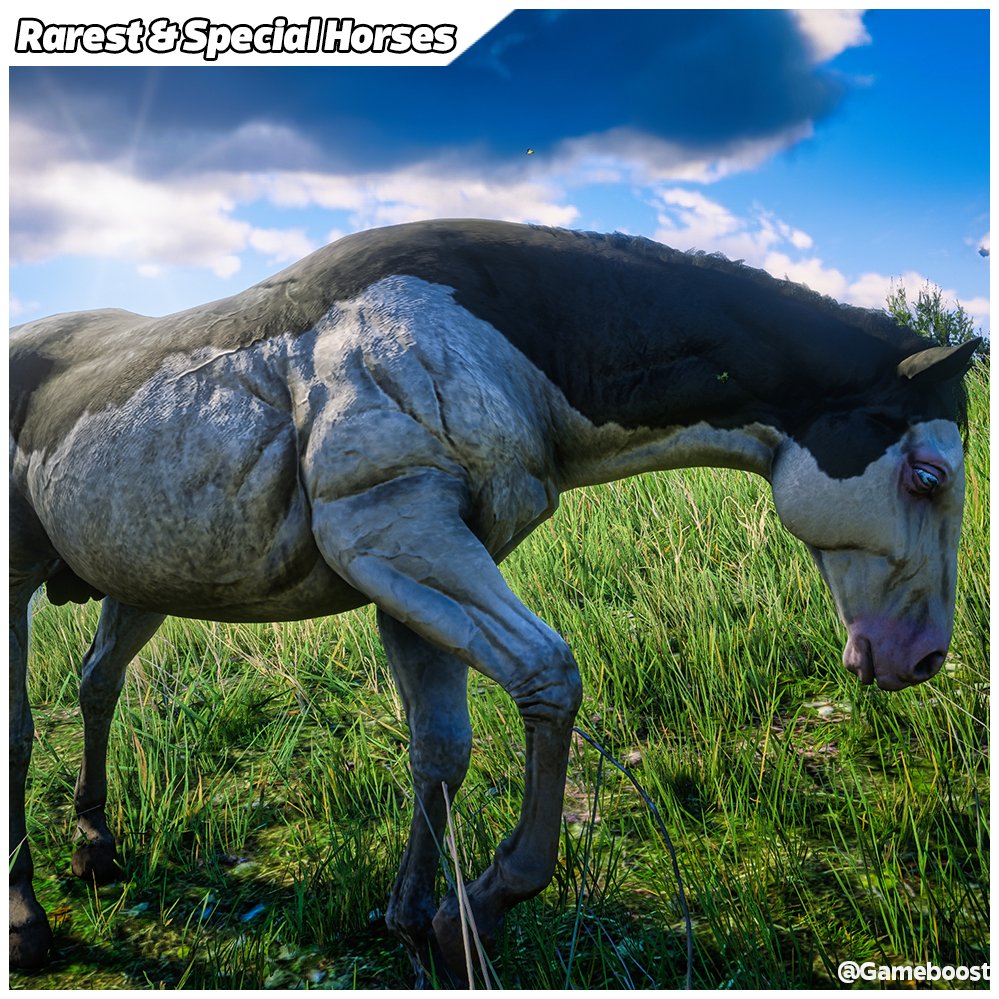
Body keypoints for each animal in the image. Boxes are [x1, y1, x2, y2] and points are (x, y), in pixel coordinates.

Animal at [9, 219, 979, 980]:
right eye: (928, 475)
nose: (921, 657)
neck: (492, 340)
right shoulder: (397, 534)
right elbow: (548, 679)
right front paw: (470, 915)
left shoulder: (416, 562)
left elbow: (440, 751)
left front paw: (412, 923)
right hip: (21, 575)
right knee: (22, 724)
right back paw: (27, 919)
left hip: (141, 578)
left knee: (97, 684)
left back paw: (94, 850)